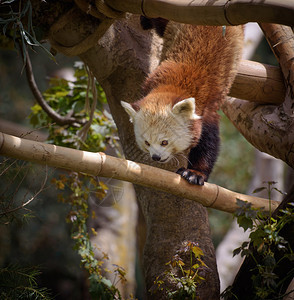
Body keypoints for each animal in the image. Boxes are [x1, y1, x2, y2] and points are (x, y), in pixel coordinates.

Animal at [120, 19, 242, 185]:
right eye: (147, 142)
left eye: (164, 142)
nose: (156, 157)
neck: (174, 86)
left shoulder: (207, 109)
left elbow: (208, 143)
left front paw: (195, 173)